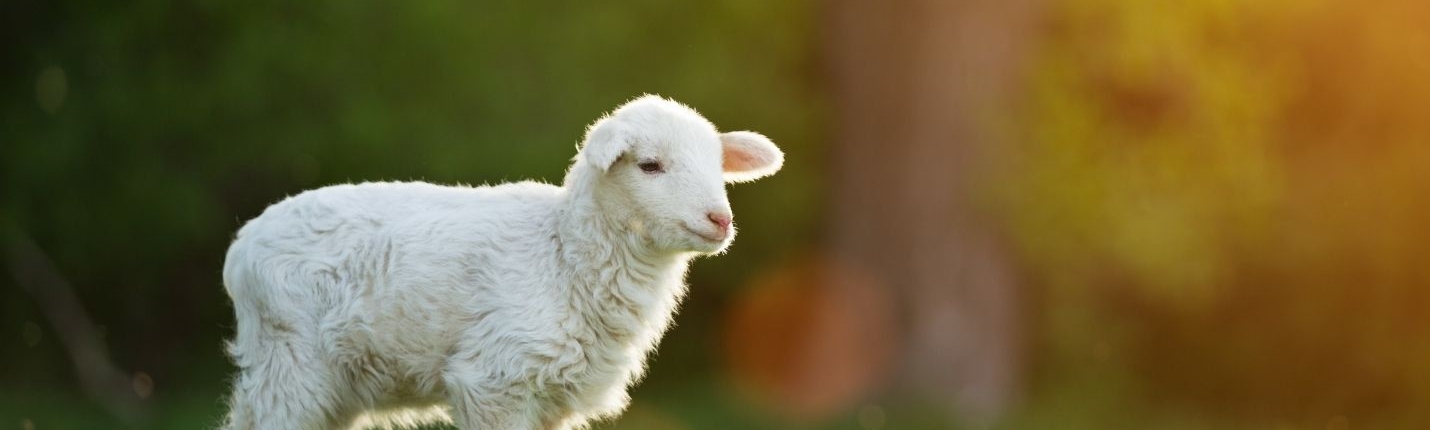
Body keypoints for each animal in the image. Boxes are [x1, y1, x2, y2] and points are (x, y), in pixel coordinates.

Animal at [218, 95, 784, 430]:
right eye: (650, 166)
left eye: (718, 166)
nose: (719, 220)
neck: (564, 255)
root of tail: (243, 244)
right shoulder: (495, 380)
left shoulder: (552, 397)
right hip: (290, 361)